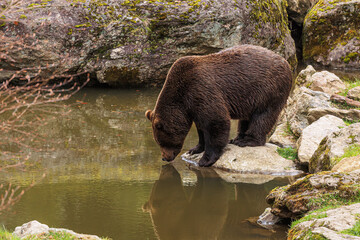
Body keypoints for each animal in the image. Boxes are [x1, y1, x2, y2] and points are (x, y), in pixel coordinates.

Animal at [146, 44, 292, 166]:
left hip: (268, 89)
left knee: (263, 116)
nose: (164, 157)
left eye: (161, 142)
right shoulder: (194, 106)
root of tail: (285, 61)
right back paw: (237, 138)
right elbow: (201, 128)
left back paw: (247, 140)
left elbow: (215, 122)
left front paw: (205, 159)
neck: (183, 100)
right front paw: (195, 149)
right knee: (246, 118)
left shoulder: (201, 89)